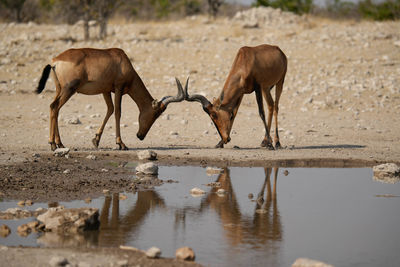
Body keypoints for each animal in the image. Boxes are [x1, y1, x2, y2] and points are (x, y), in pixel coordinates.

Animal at [36, 48, 186, 151]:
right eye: (156, 114)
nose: (140, 136)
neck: (121, 60)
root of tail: (55, 61)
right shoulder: (118, 88)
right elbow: (118, 112)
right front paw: (121, 143)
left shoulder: (106, 90)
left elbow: (110, 109)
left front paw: (96, 140)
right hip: (69, 89)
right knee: (54, 107)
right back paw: (53, 144)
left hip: (59, 89)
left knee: (54, 109)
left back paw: (59, 143)